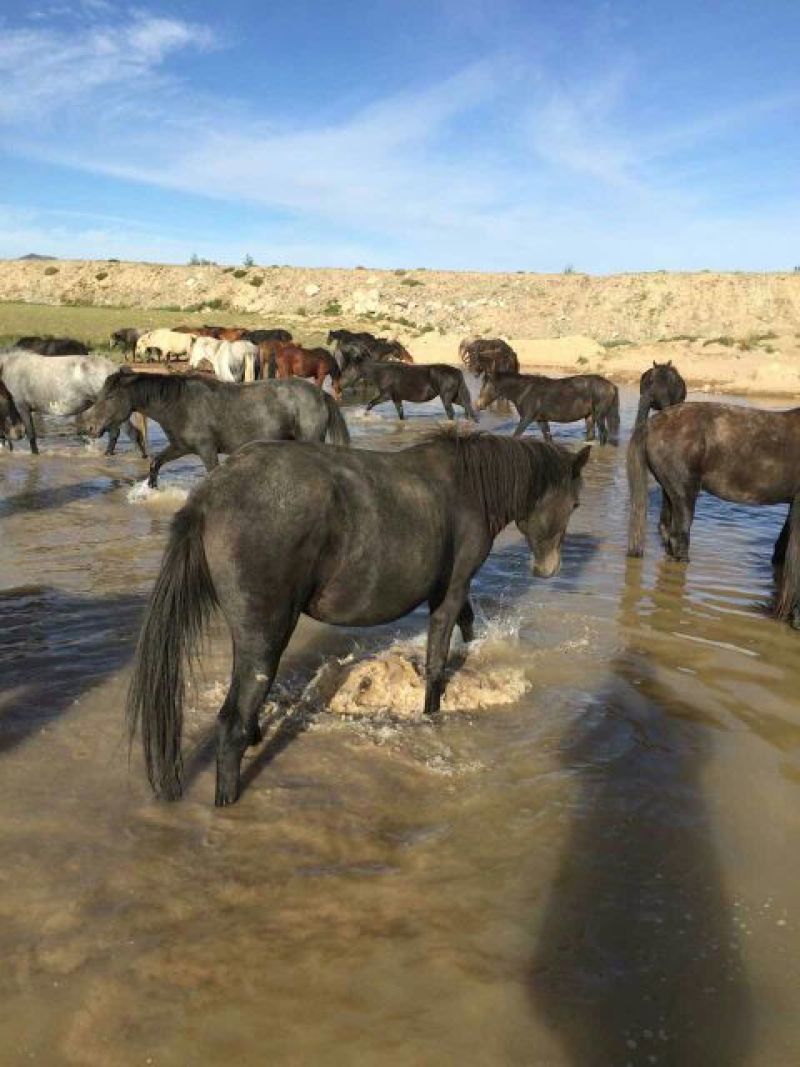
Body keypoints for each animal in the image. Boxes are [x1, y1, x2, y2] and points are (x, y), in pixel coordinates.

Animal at [83, 370, 350, 488]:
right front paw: (151, 490)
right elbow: (155, 463)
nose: (90, 427)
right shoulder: (180, 447)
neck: (180, 403)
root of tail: (321, 394)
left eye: (109, 397)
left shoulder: (206, 449)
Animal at [126, 430, 591, 805]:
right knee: (233, 724)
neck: (467, 487)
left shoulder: (450, 590)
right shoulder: (453, 588)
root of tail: (210, 494)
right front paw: (431, 712)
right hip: (266, 634)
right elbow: (438, 656)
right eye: (575, 502)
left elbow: (467, 623)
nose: (548, 569)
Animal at [341, 361, 477, 421]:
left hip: (446, 397)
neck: (382, 373)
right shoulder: (396, 398)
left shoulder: (386, 396)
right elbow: (400, 413)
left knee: (451, 413)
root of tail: (457, 371)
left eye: (348, 370)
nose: (339, 385)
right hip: (455, 397)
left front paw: (363, 416)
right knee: (467, 407)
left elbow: (370, 403)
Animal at [476, 372, 620, 445]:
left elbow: (516, 435)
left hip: (599, 416)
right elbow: (548, 438)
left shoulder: (526, 419)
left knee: (603, 435)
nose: (478, 405)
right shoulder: (541, 420)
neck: (524, 390)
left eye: (486, 386)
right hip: (589, 416)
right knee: (591, 436)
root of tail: (611, 385)